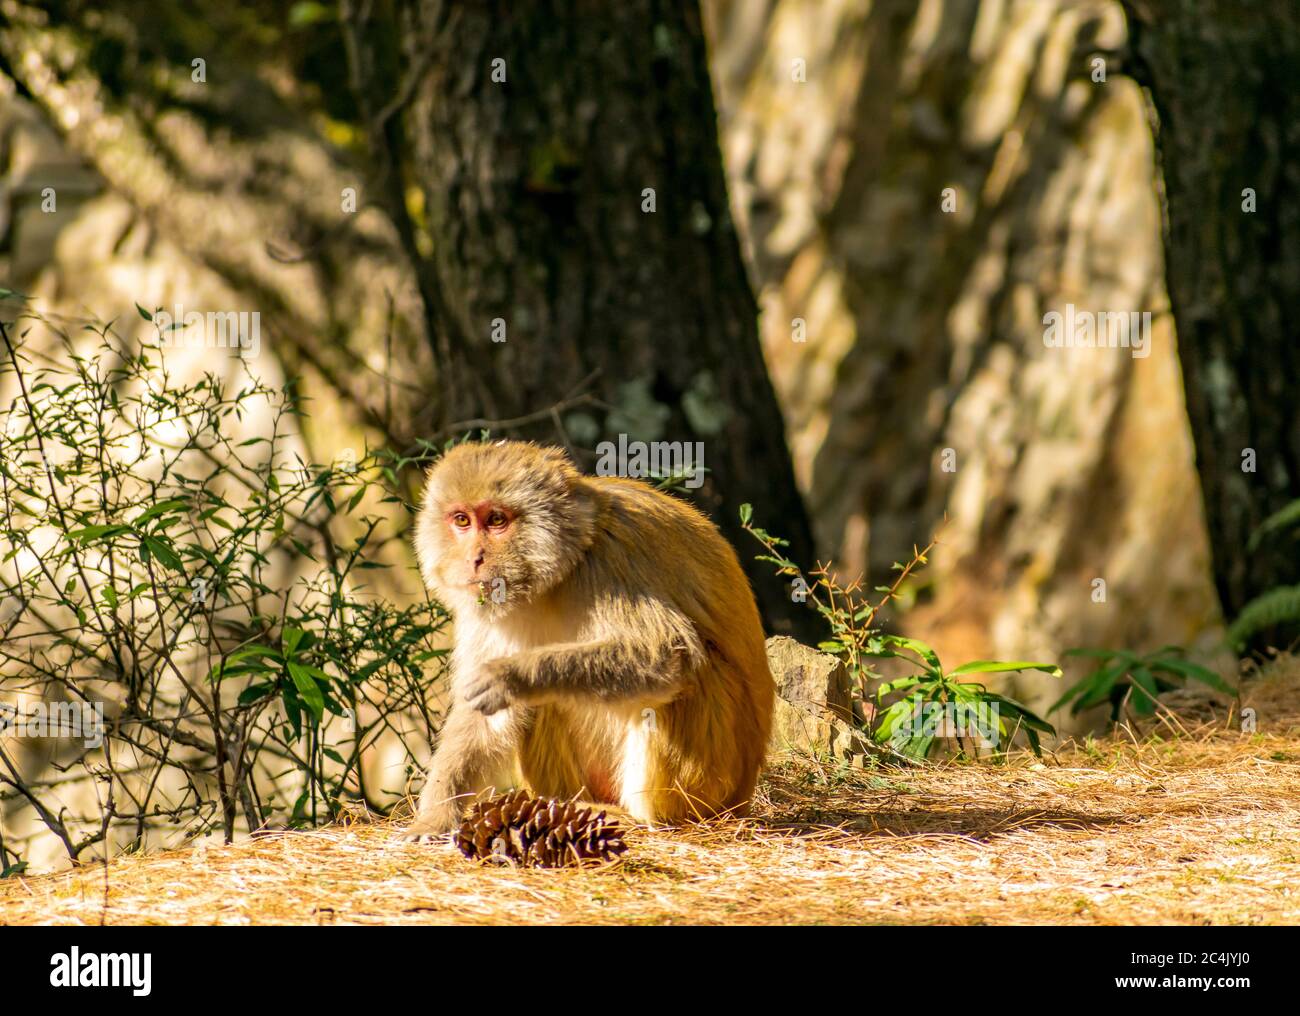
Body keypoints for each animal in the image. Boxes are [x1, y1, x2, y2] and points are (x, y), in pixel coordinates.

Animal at [405, 439, 773, 838]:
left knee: (688, 676)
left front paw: (512, 674)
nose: (474, 558)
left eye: (497, 520)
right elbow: (485, 716)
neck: (563, 569)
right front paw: (437, 815)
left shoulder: (609, 561)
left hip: (711, 785)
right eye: (462, 520)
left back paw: (645, 819)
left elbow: (666, 652)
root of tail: (743, 797)